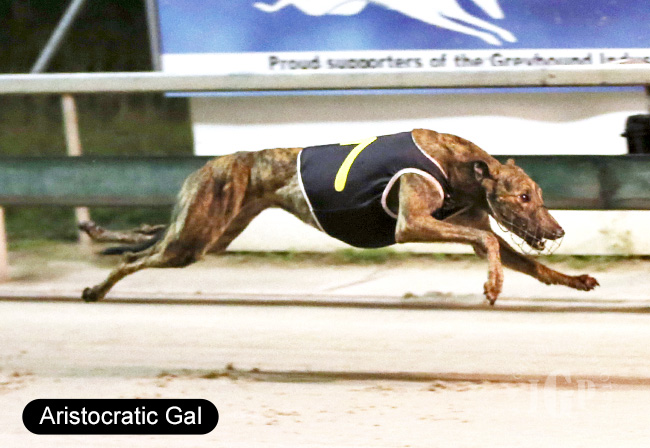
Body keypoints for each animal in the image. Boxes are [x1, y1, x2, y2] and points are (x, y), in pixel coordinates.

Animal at [79, 129, 598, 305]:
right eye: (524, 196)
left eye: (539, 195)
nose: (558, 229)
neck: (456, 164)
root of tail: (209, 164)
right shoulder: (412, 223)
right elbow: (490, 243)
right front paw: (492, 286)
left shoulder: (466, 223)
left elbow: (525, 260)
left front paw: (574, 280)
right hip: (195, 237)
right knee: (136, 258)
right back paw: (95, 287)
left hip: (212, 233)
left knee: (150, 236)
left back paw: (98, 232)